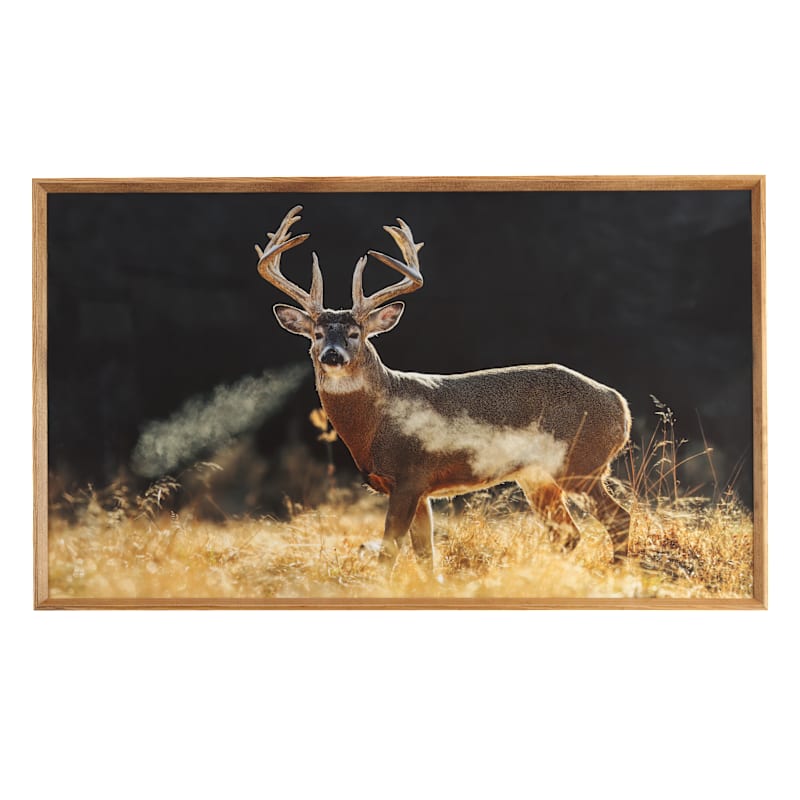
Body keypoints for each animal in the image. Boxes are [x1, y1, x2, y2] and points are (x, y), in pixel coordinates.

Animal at [254, 206, 632, 572]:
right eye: (317, 334)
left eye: (355, 333)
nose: (332, 355)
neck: (376, 423)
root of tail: (620, 406)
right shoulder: (421, 491)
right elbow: (425, 555)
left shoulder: (410, 477)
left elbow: (389, 554)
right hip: (538, 476)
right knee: (568, 534)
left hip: (580, 461)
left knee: (618, 518)